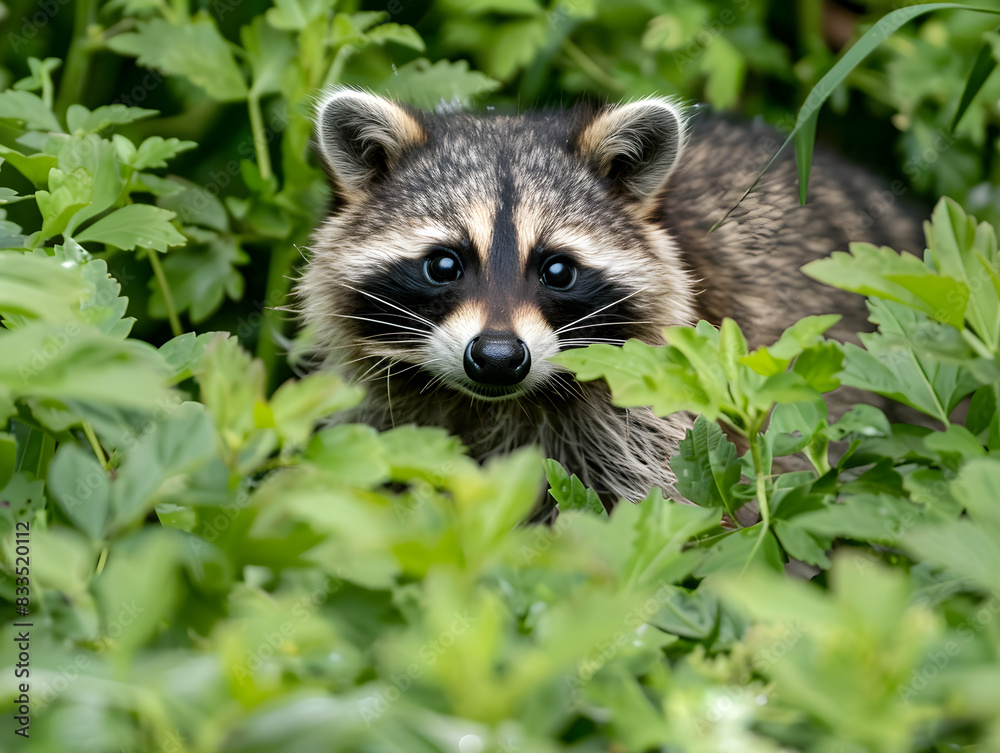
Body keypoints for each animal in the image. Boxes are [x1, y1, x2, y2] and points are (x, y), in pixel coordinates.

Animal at [297, 90, 924, 505]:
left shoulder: (660, 412)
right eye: (444, 265)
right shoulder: (387, 416)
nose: (498, 358)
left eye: (557, 270)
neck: (490, 405)